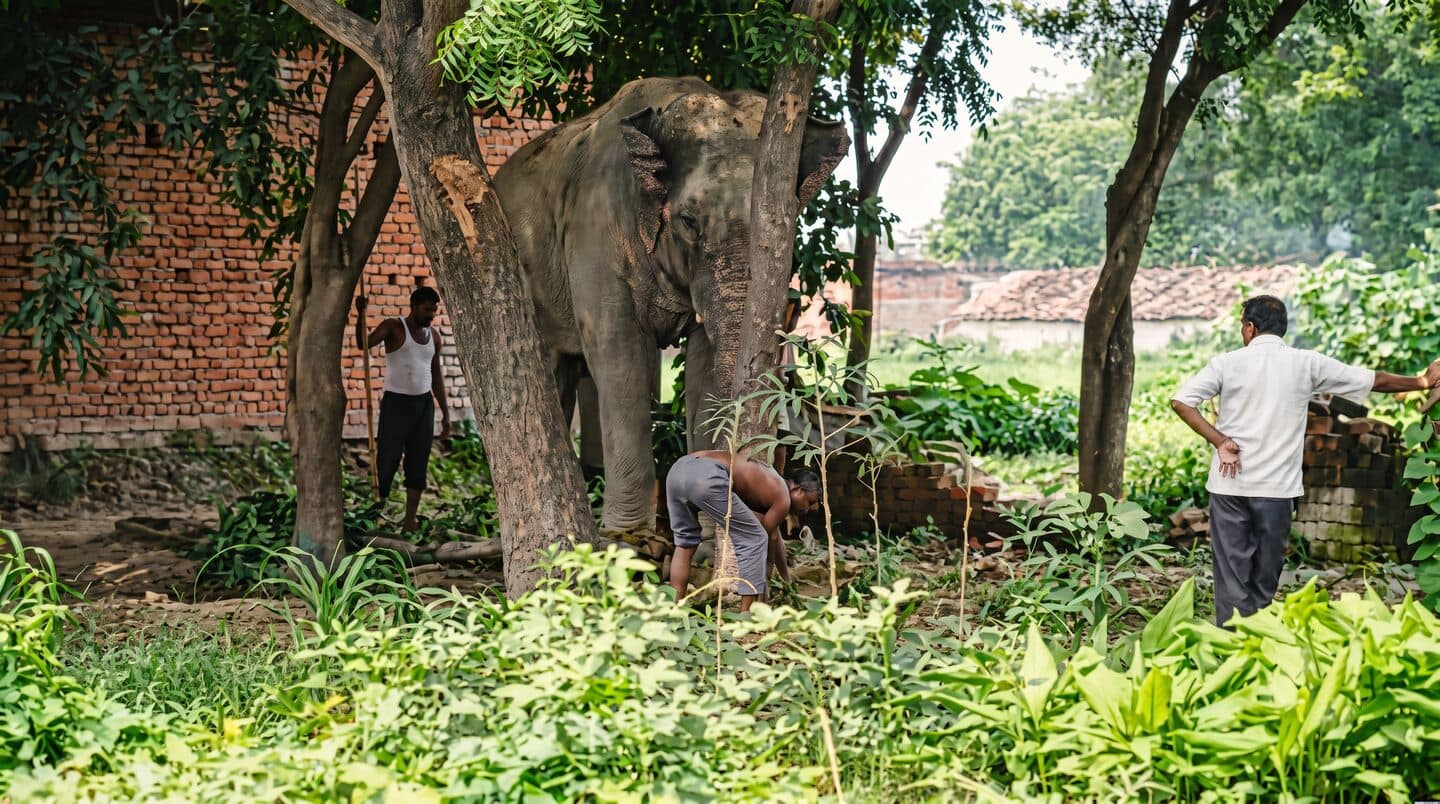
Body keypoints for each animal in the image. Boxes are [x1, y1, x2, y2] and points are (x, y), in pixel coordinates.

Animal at [492, 76, 848, 538]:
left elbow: (705, 367)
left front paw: (711, 535)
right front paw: (629, 541)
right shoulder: (594, 232)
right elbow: (618, 354)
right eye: (688, 221)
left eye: (786, 230)